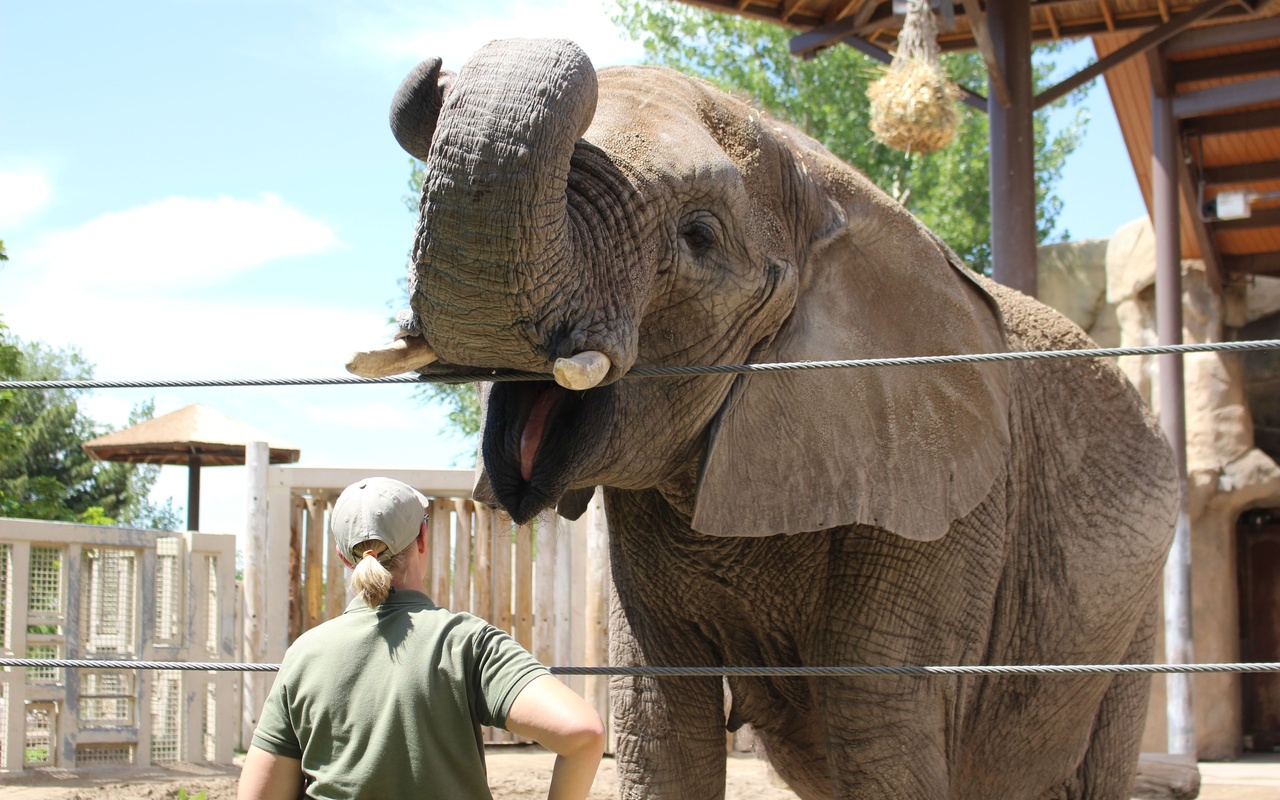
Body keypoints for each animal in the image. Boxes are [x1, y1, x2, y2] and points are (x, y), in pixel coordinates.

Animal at [350, 34, 1177, 793]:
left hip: (1133, 611)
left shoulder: (954, 502)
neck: (824, 185)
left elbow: (878, 725)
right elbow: (662, 726)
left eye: (699, 237)